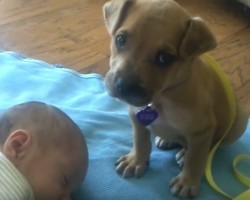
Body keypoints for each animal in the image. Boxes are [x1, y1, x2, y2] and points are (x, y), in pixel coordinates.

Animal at [103, 0, 248, 198]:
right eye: (120, 39)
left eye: (164, 58)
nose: (123, 86)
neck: (163, 96)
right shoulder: (136, 117)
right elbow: (140, 141)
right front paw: (136, 161)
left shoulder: (203, 130)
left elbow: (196, 159)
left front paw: (187, 181)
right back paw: (167, 140)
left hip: (239, 120)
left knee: (210, 147)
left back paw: (184, 153)